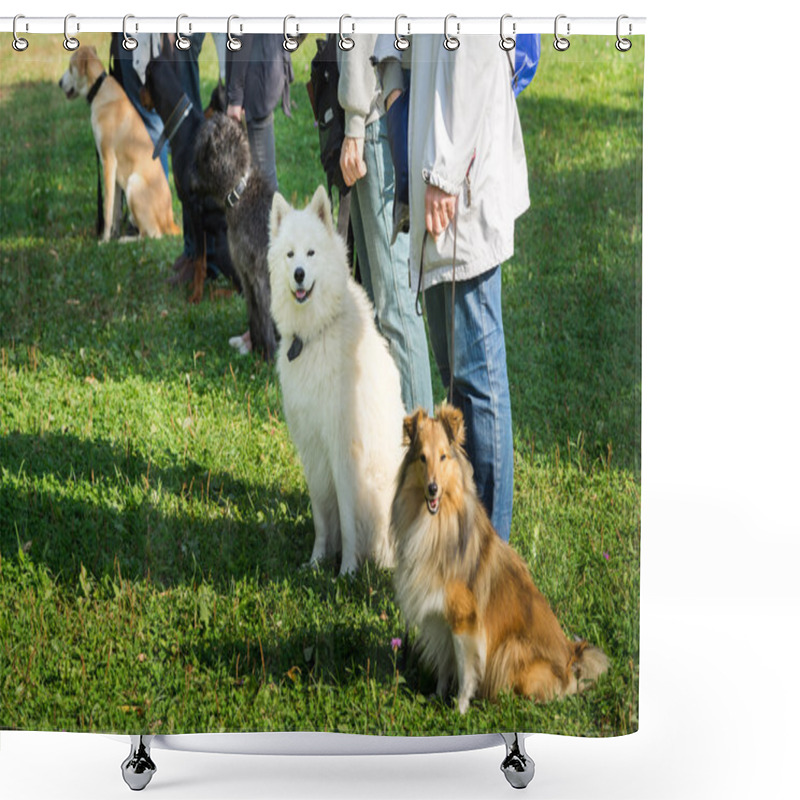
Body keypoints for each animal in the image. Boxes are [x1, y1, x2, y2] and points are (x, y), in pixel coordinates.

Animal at [59, 46, 180, 241]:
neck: (98, 89)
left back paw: (126, 240)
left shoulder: (108, 162)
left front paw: (104, 240)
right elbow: (115, 209)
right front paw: (112, 236)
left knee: (152, 235)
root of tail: (170, 222)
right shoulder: (115, 173)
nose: (59, 82)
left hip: (133, 183)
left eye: (71, 67)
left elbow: (107, 208)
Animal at [191, 111, 278, 360]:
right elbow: (254, 314)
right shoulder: (245, 275)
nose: (188, 180)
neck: (240, 193)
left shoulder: (261, 278)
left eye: (200, 154)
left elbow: (266, 315)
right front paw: (257, 348)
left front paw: (269, 355)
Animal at [268, 188, 406, 576]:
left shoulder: (343, 448)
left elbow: (345, 516)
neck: (315, 333)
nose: (299, 274)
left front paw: (346, 570)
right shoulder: (312, 447)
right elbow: (321, 517)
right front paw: (316, 562)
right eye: (290, 255)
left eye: (312, 253)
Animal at [390, 406, 608, 712]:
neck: (436, 524)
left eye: (444, 456)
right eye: (422, 457)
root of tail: (571, 660)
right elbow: (445, 664)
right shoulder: (442, 619)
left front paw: (459, 709)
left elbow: (465, 669)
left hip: (512, 648)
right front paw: (438, 695)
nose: (433, 489)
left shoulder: (465, 622)